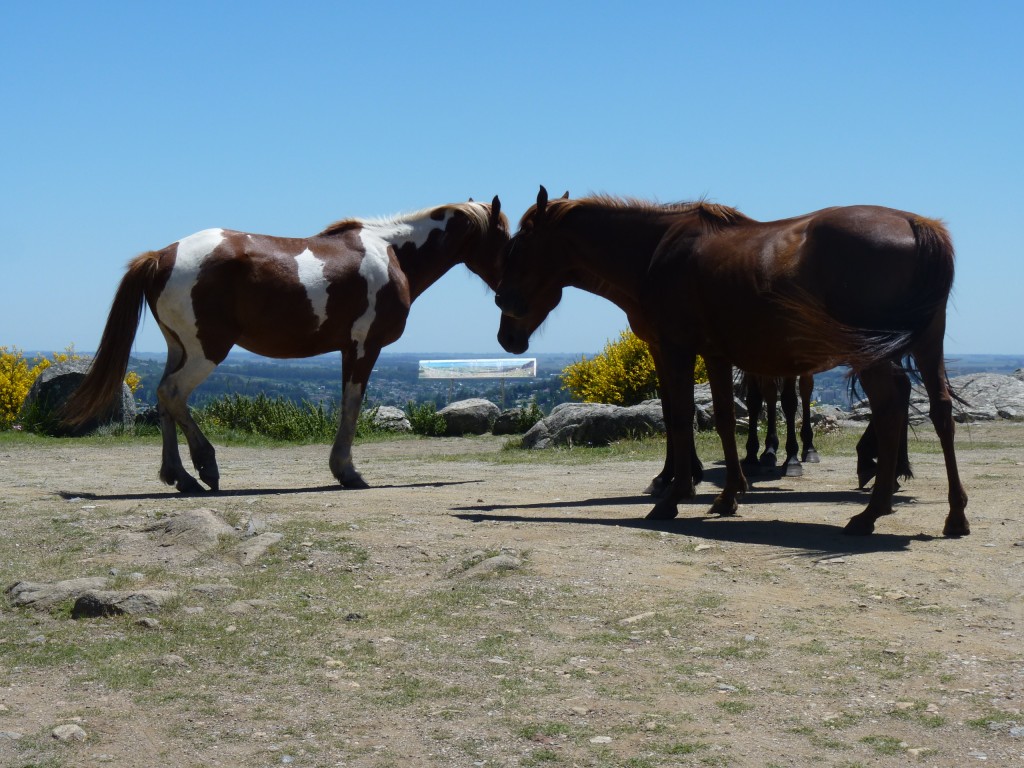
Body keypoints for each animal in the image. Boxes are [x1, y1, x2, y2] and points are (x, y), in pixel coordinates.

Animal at [62, 198, 507, 493]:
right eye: (504, 234)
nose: (508, 292)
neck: (391, 253)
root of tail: (161, 256)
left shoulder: (348, 349)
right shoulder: (364, 347)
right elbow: (352, 405)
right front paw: (346, 471)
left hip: (180, 348)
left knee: (164, 398)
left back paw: (180, 476)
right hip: (207, 350)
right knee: (172, 393)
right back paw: (205, 468)